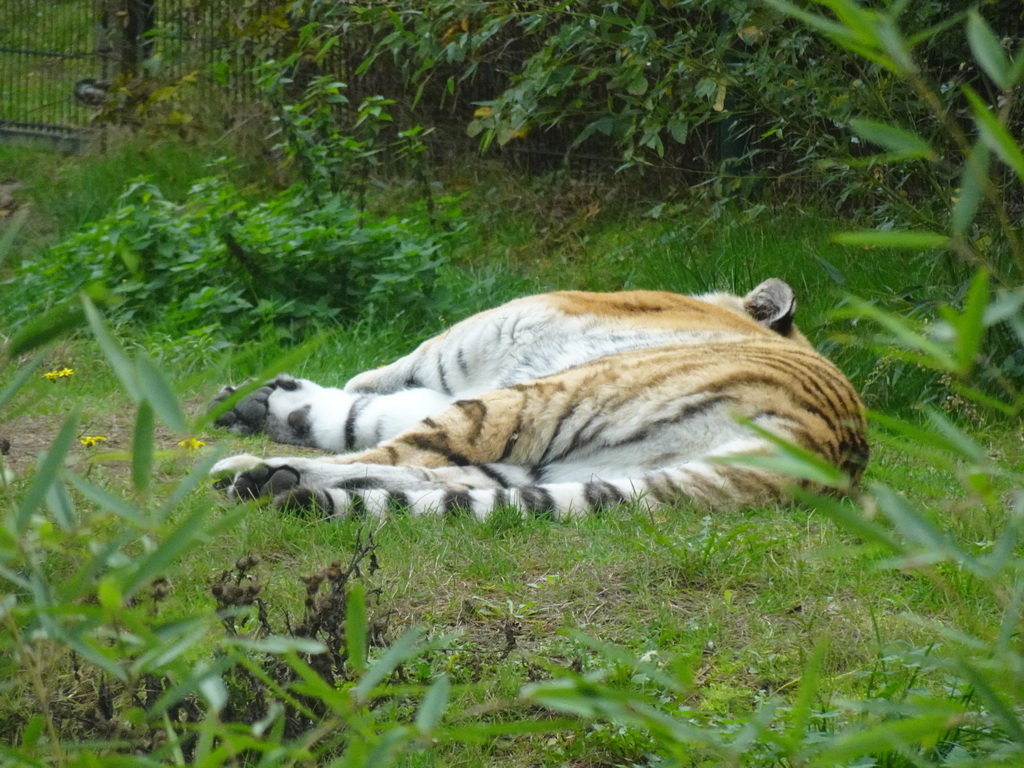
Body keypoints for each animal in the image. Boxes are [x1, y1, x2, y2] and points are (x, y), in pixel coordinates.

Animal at [211, 280, 868, 520]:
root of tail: (825, 449)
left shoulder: (475, 345)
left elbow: (373, 388)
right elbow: (364, 411)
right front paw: (262, 403)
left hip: (540, 400)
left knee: (401, 457)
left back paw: (250, 473)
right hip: (556, 462)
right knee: (426, 476)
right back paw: (274, 478)